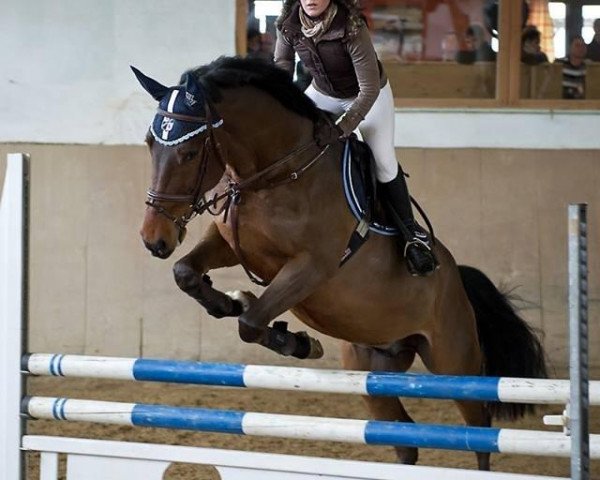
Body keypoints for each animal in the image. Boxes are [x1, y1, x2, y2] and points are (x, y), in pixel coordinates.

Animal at [134, 56, 548, 468]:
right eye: (150, 143)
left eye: (189, 153)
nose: (154, 239)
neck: (275, 175)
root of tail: (457, 280)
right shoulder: (228, 242)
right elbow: (186, 274)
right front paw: (230, 302)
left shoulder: (312, 267)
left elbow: (251, 323)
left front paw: (297, 342)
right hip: (371, 368)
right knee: (405, 437)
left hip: (453, 363)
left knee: (479, 433)